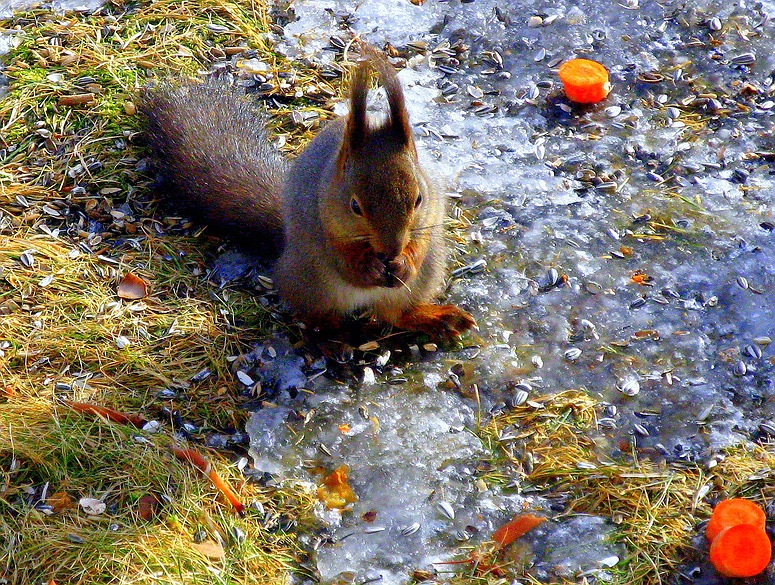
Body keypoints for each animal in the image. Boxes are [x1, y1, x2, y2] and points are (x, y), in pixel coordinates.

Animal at [142, 54, 476, 340]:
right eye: (355, 206)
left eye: (418, 199)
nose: (392, 250)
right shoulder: (321, 223)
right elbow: (343, 260)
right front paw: (366, 268)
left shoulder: (431, 210)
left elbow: (420, 241)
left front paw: (405, 262)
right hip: (310, 279)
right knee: (316, 317)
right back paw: (330, 340)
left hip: (426, 275)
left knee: (396, 315)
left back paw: (437, 317)